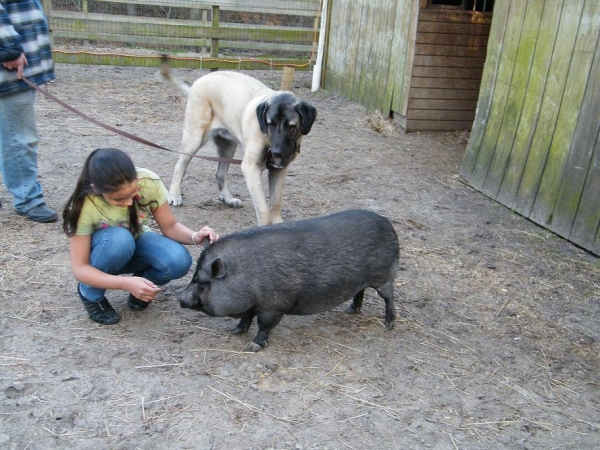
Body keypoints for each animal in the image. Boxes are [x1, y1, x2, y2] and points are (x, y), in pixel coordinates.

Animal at [159, 60, 318, 225]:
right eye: (270, 124)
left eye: (290, 126)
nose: (277, 152)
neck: (268, 138)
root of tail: (197, 82)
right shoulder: (251, 168)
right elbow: (262, 208)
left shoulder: (279, 170)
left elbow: (275, 203)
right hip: (194, 138)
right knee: (180, 166)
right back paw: (174, 195)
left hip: (228, 146)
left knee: (220, 173)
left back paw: (228, 199)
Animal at [178, 208, 398, 352]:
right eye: (194, 276)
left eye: (203, 282)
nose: (180, 297)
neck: (245, 276)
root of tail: (387, 223)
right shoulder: (253, 305)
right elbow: (246, 319)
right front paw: (234, 331)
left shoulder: (274, 305)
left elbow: (264, 325)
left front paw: (253, 347)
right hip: (361, 280)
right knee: (360, 291)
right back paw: (350, 311)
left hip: (385, 275)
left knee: (389, 297)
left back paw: (389, 325)